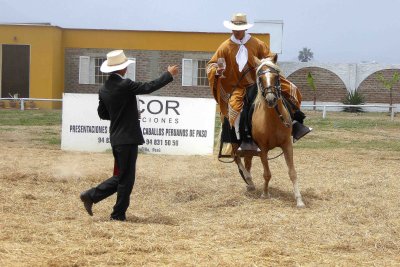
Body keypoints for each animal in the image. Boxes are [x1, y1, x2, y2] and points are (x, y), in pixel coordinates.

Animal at [230, 56, 304, 208]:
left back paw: (250, 184)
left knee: (247, 161)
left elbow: (292, 172)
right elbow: (267, 173)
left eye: (276, 76)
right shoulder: (262, 149)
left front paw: (299, 200)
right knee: (237, 158)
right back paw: (249, 180)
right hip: (235, 143)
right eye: (260, 77)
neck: (272, 120)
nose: (271, 99)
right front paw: (265, 194)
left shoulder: (287, 145)